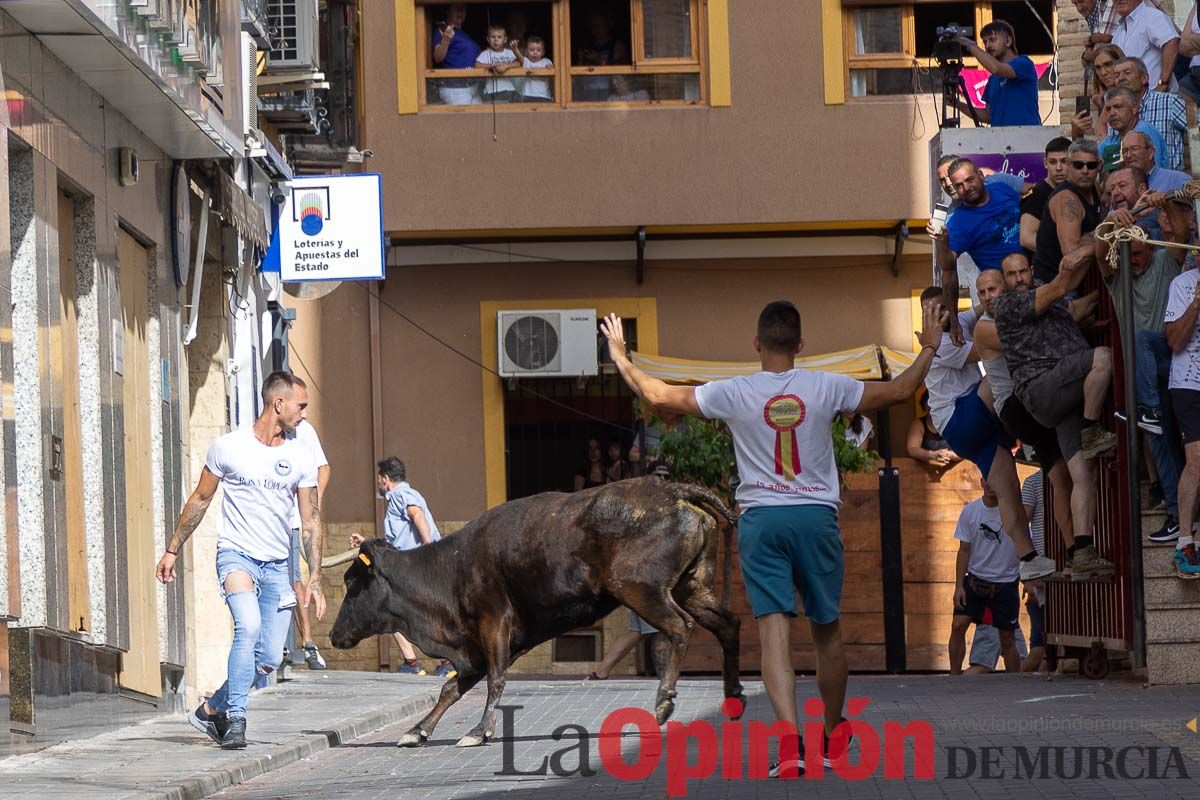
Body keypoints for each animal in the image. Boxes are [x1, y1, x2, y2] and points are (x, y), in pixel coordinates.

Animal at [324, 479, 744, 748]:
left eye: (351, 582)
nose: (332, 635)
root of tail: (675, 490)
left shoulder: (494, 624)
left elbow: (494, 681)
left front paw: (479, 731)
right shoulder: (478, 648)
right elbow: (451, 689)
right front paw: (417, 730)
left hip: (642, 591)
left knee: (679, 627)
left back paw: (664, 701)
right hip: (692, 587)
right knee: (729, 625)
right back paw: (732, 695)